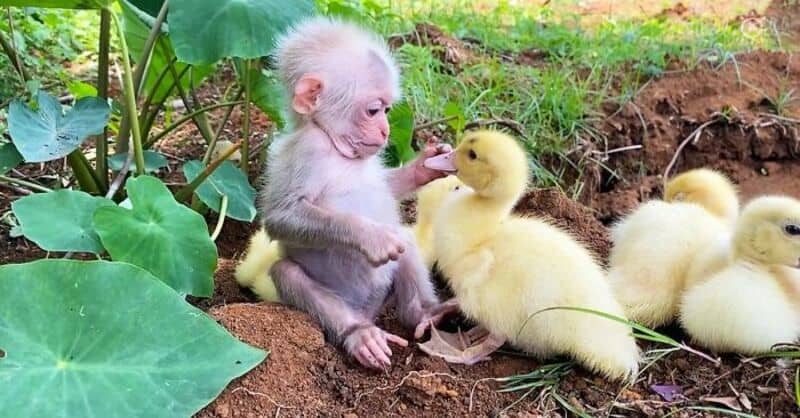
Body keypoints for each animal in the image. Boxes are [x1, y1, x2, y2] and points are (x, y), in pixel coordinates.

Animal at [258, 17, 456, 370]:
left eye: (389, 110)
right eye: (374, 110)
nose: (386, 132)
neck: (335, 147)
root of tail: (367, 310)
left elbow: (388, 189)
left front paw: (425, 167)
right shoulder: (306, 152)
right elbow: (281, 217)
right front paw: (370, 236)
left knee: (405, 241)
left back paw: (426, 313)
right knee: (287, 272)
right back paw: (359, 334)